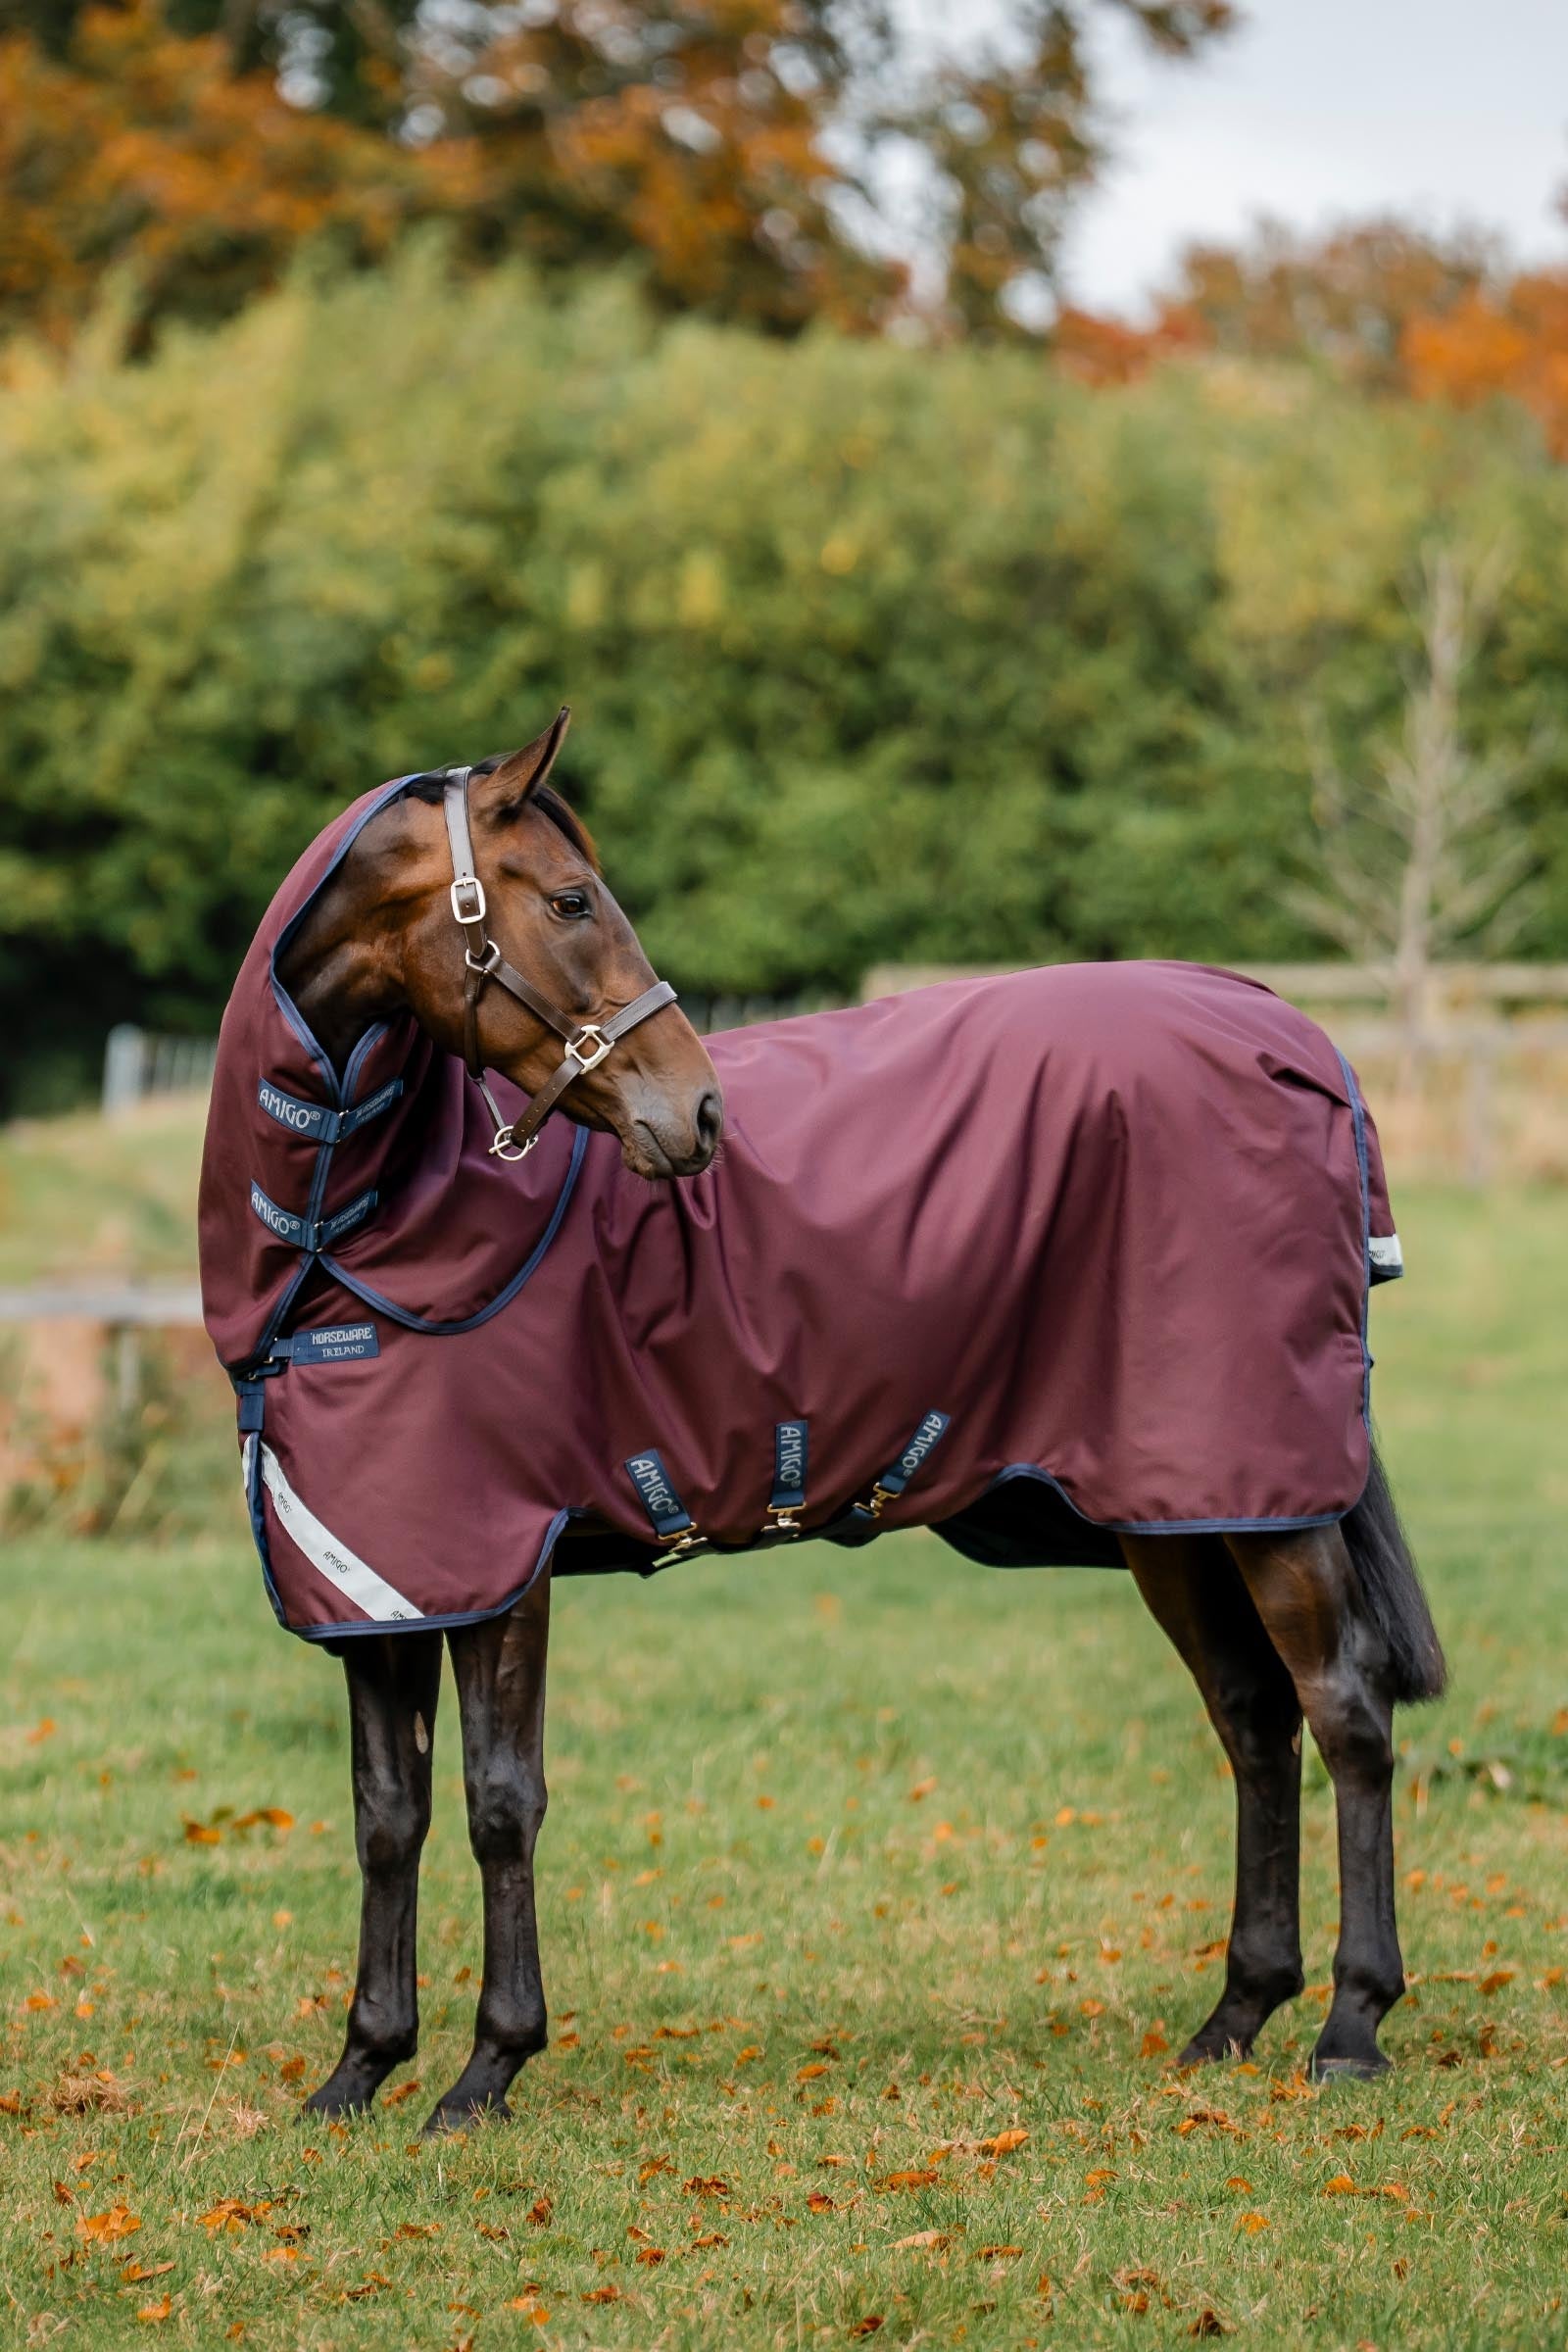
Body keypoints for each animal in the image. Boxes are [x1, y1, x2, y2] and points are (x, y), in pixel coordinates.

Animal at [198, 711, 1446, 2137]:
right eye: (570, 899)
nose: (697, 1113)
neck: (348, 1240)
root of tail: (1295, 1036)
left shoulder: (498, 1565)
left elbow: (499, 1804)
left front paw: (485, 2070)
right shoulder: (381, 1579)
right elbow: (386, 1814)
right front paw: (359, 2069)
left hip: (1264, 1499)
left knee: (1343, 1706)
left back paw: (1351, 2023)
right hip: (1178, 1509)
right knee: (1252, 1715)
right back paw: (1237, 2013)